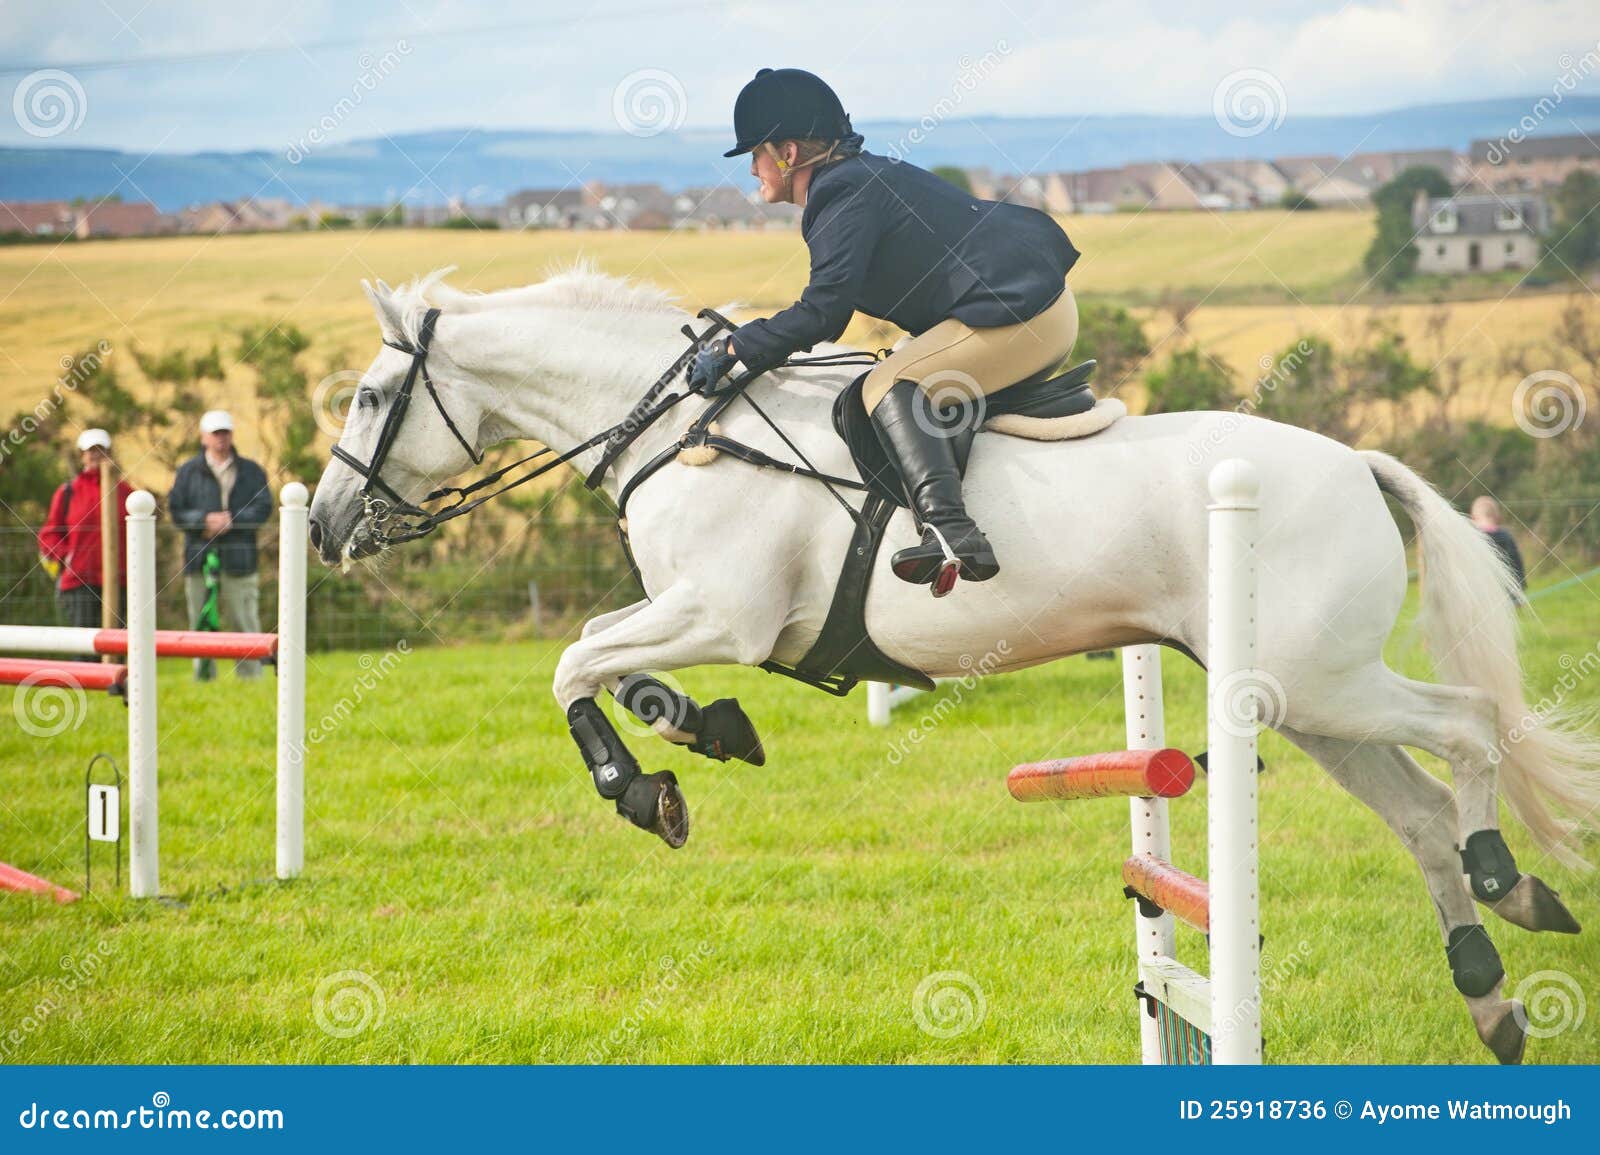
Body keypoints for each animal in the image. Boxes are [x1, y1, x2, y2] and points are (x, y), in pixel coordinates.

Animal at [308, 267, 1599, 1063]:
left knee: (1470, 729)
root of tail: (1354, 464)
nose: (323, 527)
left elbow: (574, 663)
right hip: (1300, 697)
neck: (680, 428)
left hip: (1316, 682)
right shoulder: (694, 615)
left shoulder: (723, 611)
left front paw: (645, 790)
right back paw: (1492, 979)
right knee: (1419, 815)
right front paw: (704, 735)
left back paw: (1504, 881)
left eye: (370, 396)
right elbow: (610, 667)